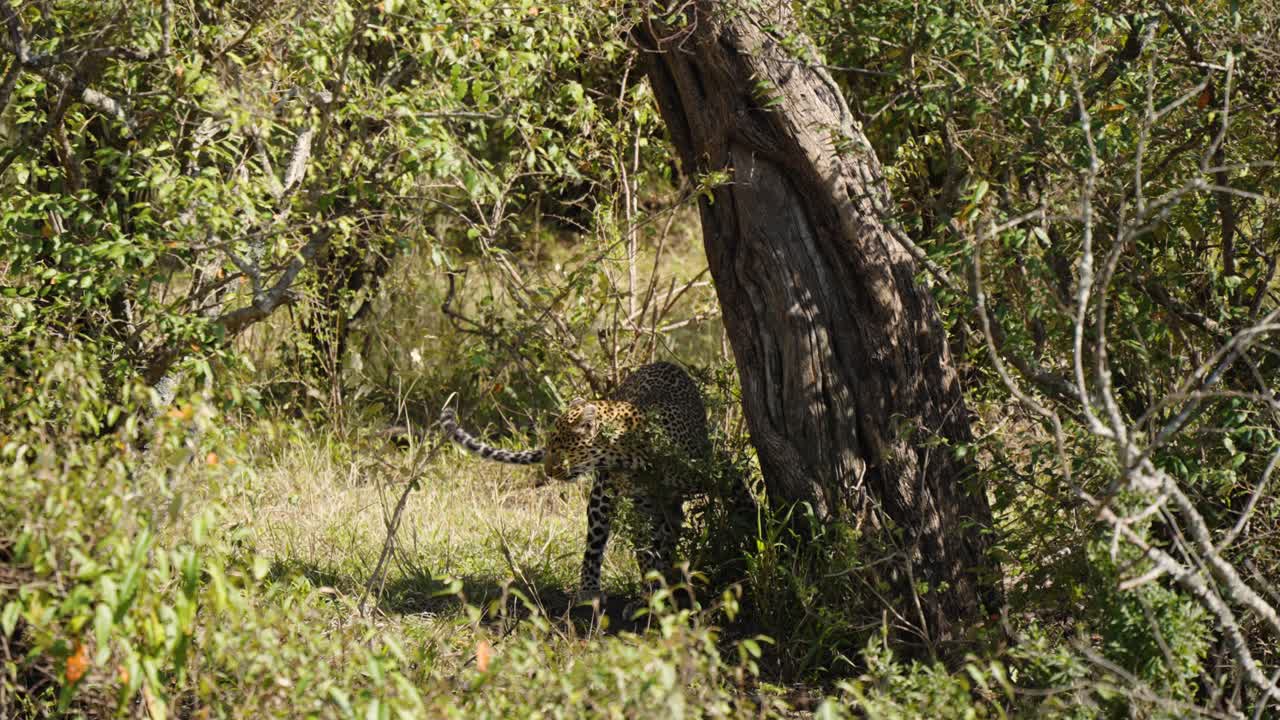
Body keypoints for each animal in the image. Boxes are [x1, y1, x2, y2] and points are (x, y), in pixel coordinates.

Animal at [440, 362, 711, 601]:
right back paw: (591, 590)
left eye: (559, 448)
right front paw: (651, 594)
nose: (548, 472)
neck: (636, 452)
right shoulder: (642, 505)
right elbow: (646, 552)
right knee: (595, 545)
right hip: (602, 495)